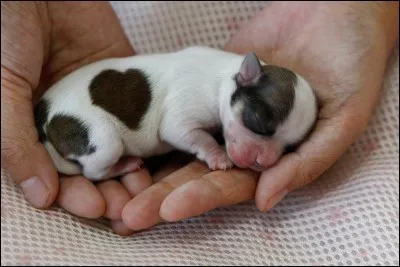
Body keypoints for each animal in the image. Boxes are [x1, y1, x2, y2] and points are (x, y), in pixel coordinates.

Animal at [32, 47, 318, 183]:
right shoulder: (184, 111)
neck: (224, 77)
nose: (262, 162)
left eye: (289, 146)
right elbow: (196, 136)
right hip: (102, 139)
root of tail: (44, 112)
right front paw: (217, 155)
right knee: (93, 172)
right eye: (257, 124)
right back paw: (124, 165)